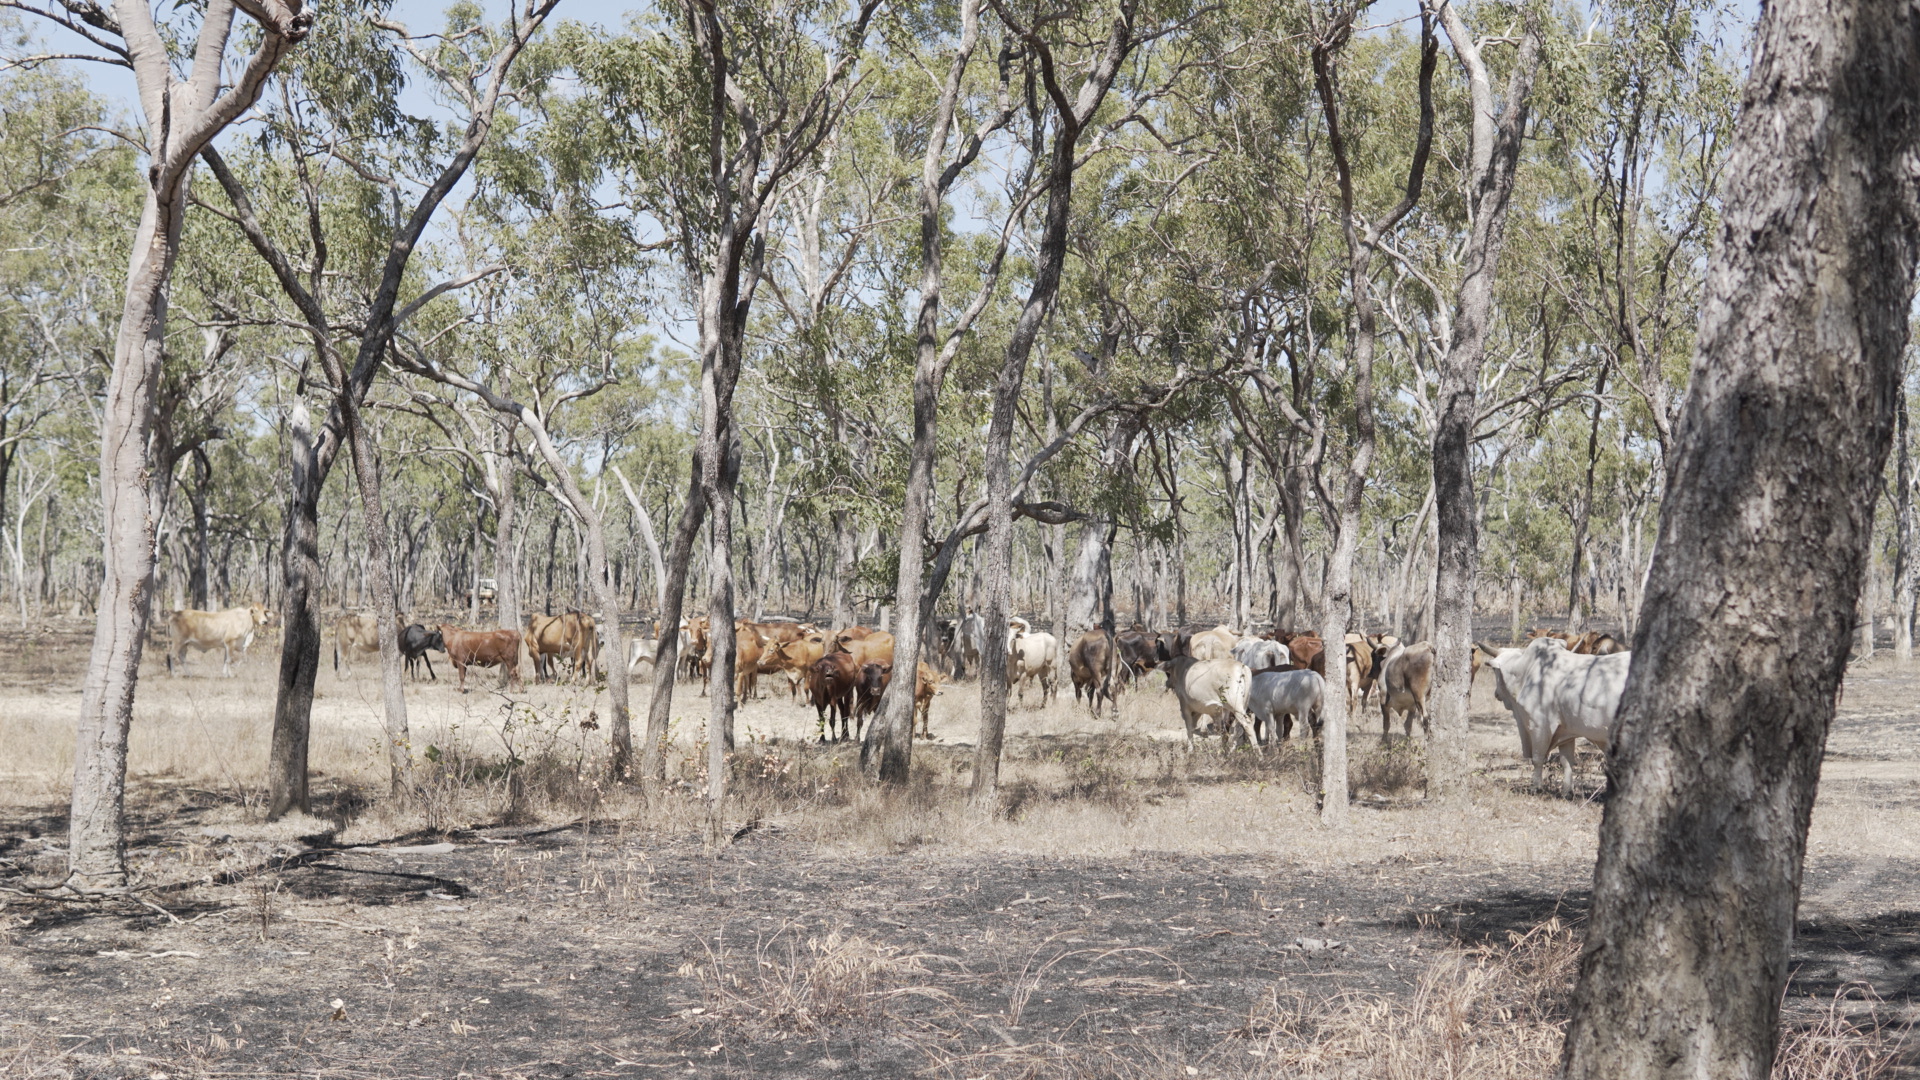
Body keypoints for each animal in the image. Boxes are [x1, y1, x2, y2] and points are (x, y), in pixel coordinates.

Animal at [1474, 634, 1628, 795]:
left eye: (1495, 671)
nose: (1496, 693)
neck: (1525, 670)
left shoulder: (1539, 725)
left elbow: (1537, 759)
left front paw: (1535, 787)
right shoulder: (1566, 731)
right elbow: (1567, 762)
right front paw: (1567, 792)